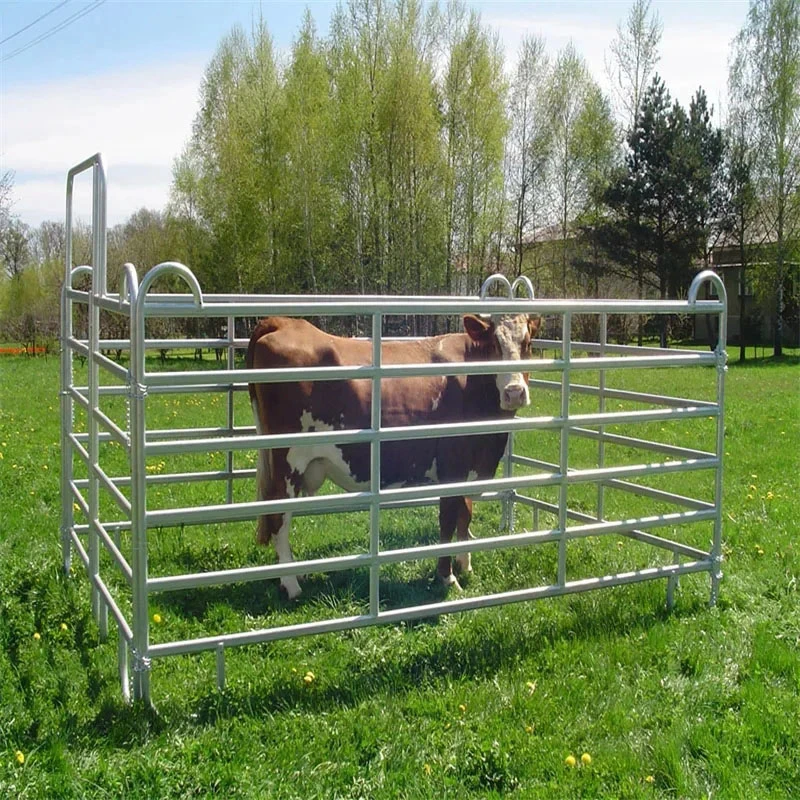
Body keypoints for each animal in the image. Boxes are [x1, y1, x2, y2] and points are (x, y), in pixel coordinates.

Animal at [247, 314, 540, 600]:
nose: (514, 392)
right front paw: (447, 577)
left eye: (527, 343)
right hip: (288, 462)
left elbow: (464, 515)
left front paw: (465, 565)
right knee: (278, 516)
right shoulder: (452, 465)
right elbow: (447, 520)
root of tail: (284, 322)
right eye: (493, 345)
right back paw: (291, 584)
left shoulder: (469, 467)